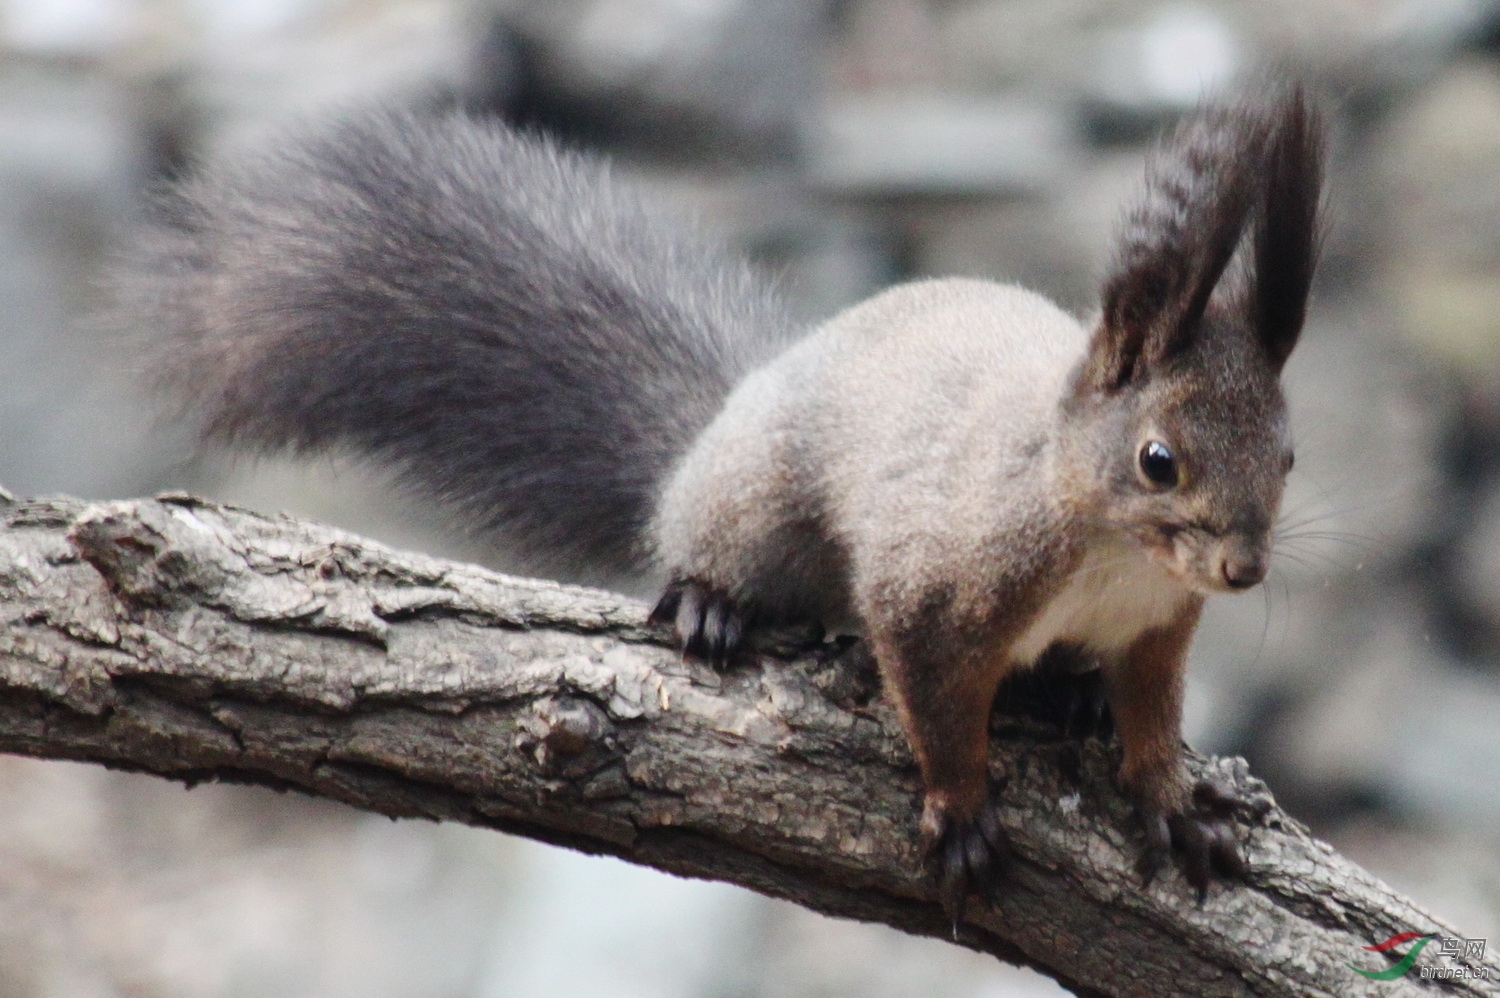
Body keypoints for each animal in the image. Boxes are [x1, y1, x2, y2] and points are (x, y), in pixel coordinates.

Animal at [123, 83, 1332, 918]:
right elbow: (932, 695)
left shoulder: (1156, 629)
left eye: (1289, 455)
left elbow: (1152, 717)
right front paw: (959, 807)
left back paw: (1068, 694)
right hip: (755, 504)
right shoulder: (942, 582)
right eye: (1159, 459)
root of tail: (724, 418)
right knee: (710, 548)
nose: (1244, 569)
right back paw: (712, 601)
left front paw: (1169, 800)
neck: (1111, 553)